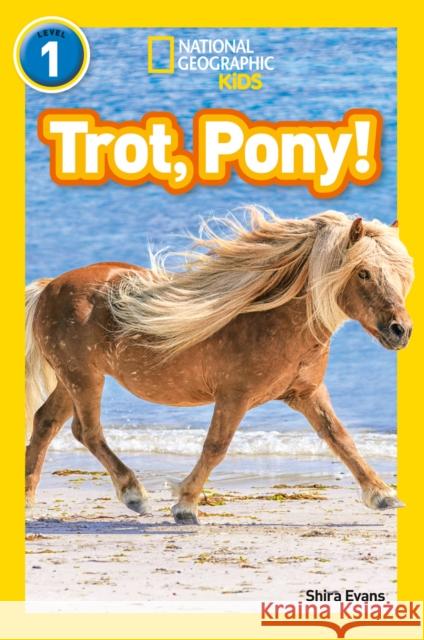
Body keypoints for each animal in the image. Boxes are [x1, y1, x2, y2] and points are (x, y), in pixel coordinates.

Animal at [25, 208, 414, 524]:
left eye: (402, 274)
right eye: (363, 273)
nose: (402, 330)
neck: (272, 318)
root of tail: (50, 287)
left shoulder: (307, 393)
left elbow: (341, 439)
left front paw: (382, 495)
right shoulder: (234, 397)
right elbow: (215, 447)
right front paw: (185, 505)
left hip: (72, 380)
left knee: (46, 423)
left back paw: (28, 500)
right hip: (84, 378)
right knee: (87, 432)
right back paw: (135, 495)